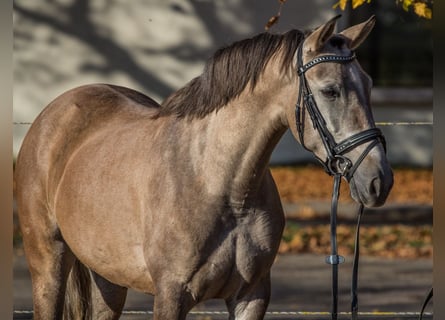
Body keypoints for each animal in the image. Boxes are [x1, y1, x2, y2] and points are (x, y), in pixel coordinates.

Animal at [14, 15, 392, 320]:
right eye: (330, 91)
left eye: (370, 85)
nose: (379, 180)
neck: (220, 184)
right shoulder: (171, 295)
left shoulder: (251, 296)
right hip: (48, 263)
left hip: (108, 276)